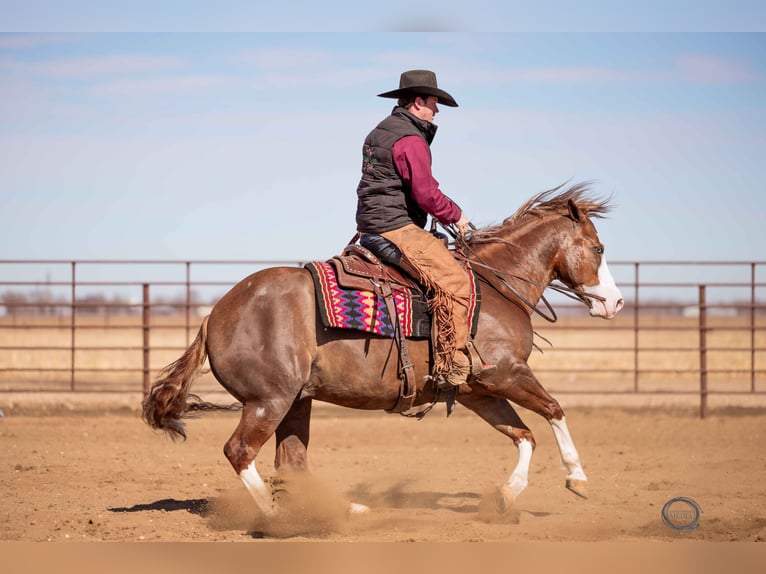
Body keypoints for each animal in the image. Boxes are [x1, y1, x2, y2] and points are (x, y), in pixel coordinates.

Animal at [142, 182, 624, 518]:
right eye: (599, 247)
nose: (616, 303)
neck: (495, 284)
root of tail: (215, 314)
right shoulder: (505, 372)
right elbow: (555, 410)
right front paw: (577, 478)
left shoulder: (478, 391)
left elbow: (523, 435)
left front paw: (507, 495)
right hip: (269, 401)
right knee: (240, 452)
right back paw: (280, 518)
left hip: (297, 401)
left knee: (292, 461)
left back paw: (345, 511)